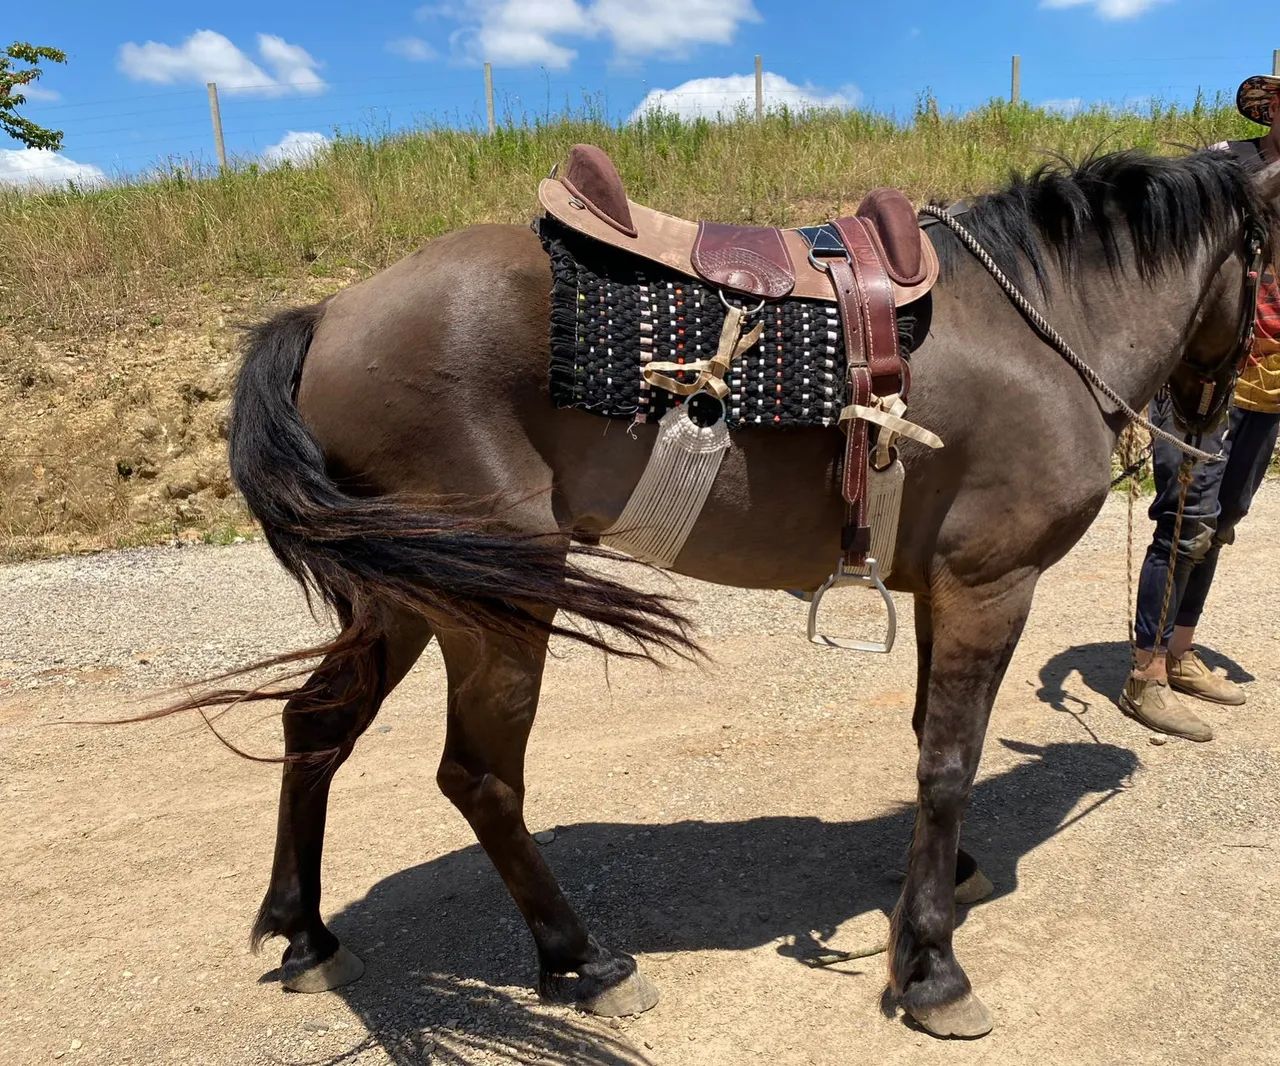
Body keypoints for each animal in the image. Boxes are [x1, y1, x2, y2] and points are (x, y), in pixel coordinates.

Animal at [184, 148, 1279, 1038]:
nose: (1214, 424)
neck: (1031, 324)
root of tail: (326, 315)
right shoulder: (989, 583)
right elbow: (946, 765)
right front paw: (931, 968)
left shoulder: (939, 587)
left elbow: (928, 734)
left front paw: (951, 880)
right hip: (498, 596)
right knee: (479, 777)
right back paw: (580, 961)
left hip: (409, 595)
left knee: (316, 725)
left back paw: (306, 934)